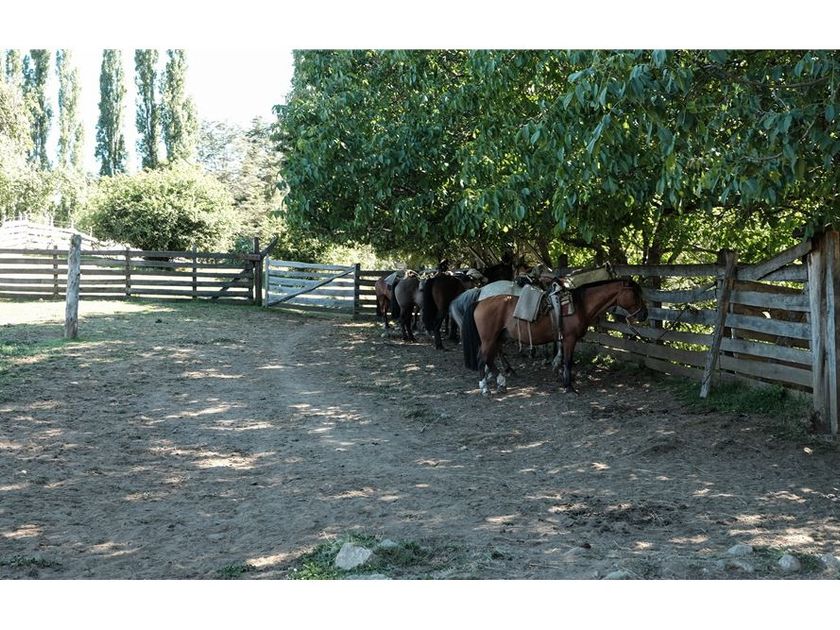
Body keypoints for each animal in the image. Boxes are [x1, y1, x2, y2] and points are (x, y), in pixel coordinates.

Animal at [454, 277, 648, 395]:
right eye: (635, 293)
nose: (644, 314)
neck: (579, 305)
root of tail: (480, 300)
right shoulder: (570, 339)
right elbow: (568, 361)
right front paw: (569, 386)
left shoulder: (562, 339)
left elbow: (561, 358)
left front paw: (562, 376)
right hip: (489, 338)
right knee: (483, 358)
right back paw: (487, 387)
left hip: (498, 337)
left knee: (490, 358)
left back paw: (500, 380)